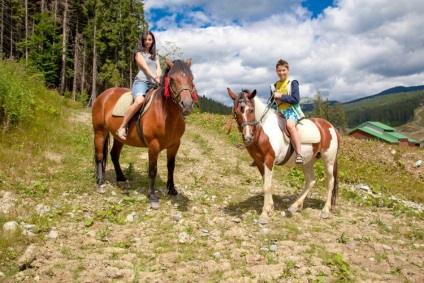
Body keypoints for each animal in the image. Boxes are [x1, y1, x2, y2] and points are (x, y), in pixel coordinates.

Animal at [92, 58, 196, 209]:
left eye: (191, 78)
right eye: (172, 79)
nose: (187, 105)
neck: (164, 113)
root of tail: (104, 94)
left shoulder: (175, 145)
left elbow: (171, 167)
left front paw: (172, 190)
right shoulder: (153, 145)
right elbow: (152, 170)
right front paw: (152, 196)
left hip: (119, 137)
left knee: (114, 155)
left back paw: (122, 179)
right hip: (100, 131)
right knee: (99, 156)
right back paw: (100, 183)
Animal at [227, 89, 340, 224]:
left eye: (251, 110)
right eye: (235, 112)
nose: (248, 137)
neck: (263, 132)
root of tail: (332, 127)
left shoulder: (269, 160)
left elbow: (267, 186)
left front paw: (264, 214)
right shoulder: (259, 162)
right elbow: (266, 183)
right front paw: (270, 208)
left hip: (328, 160)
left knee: (330, 182)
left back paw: (325, 210)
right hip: (308, 161)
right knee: (311, 181)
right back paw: (295, 206)